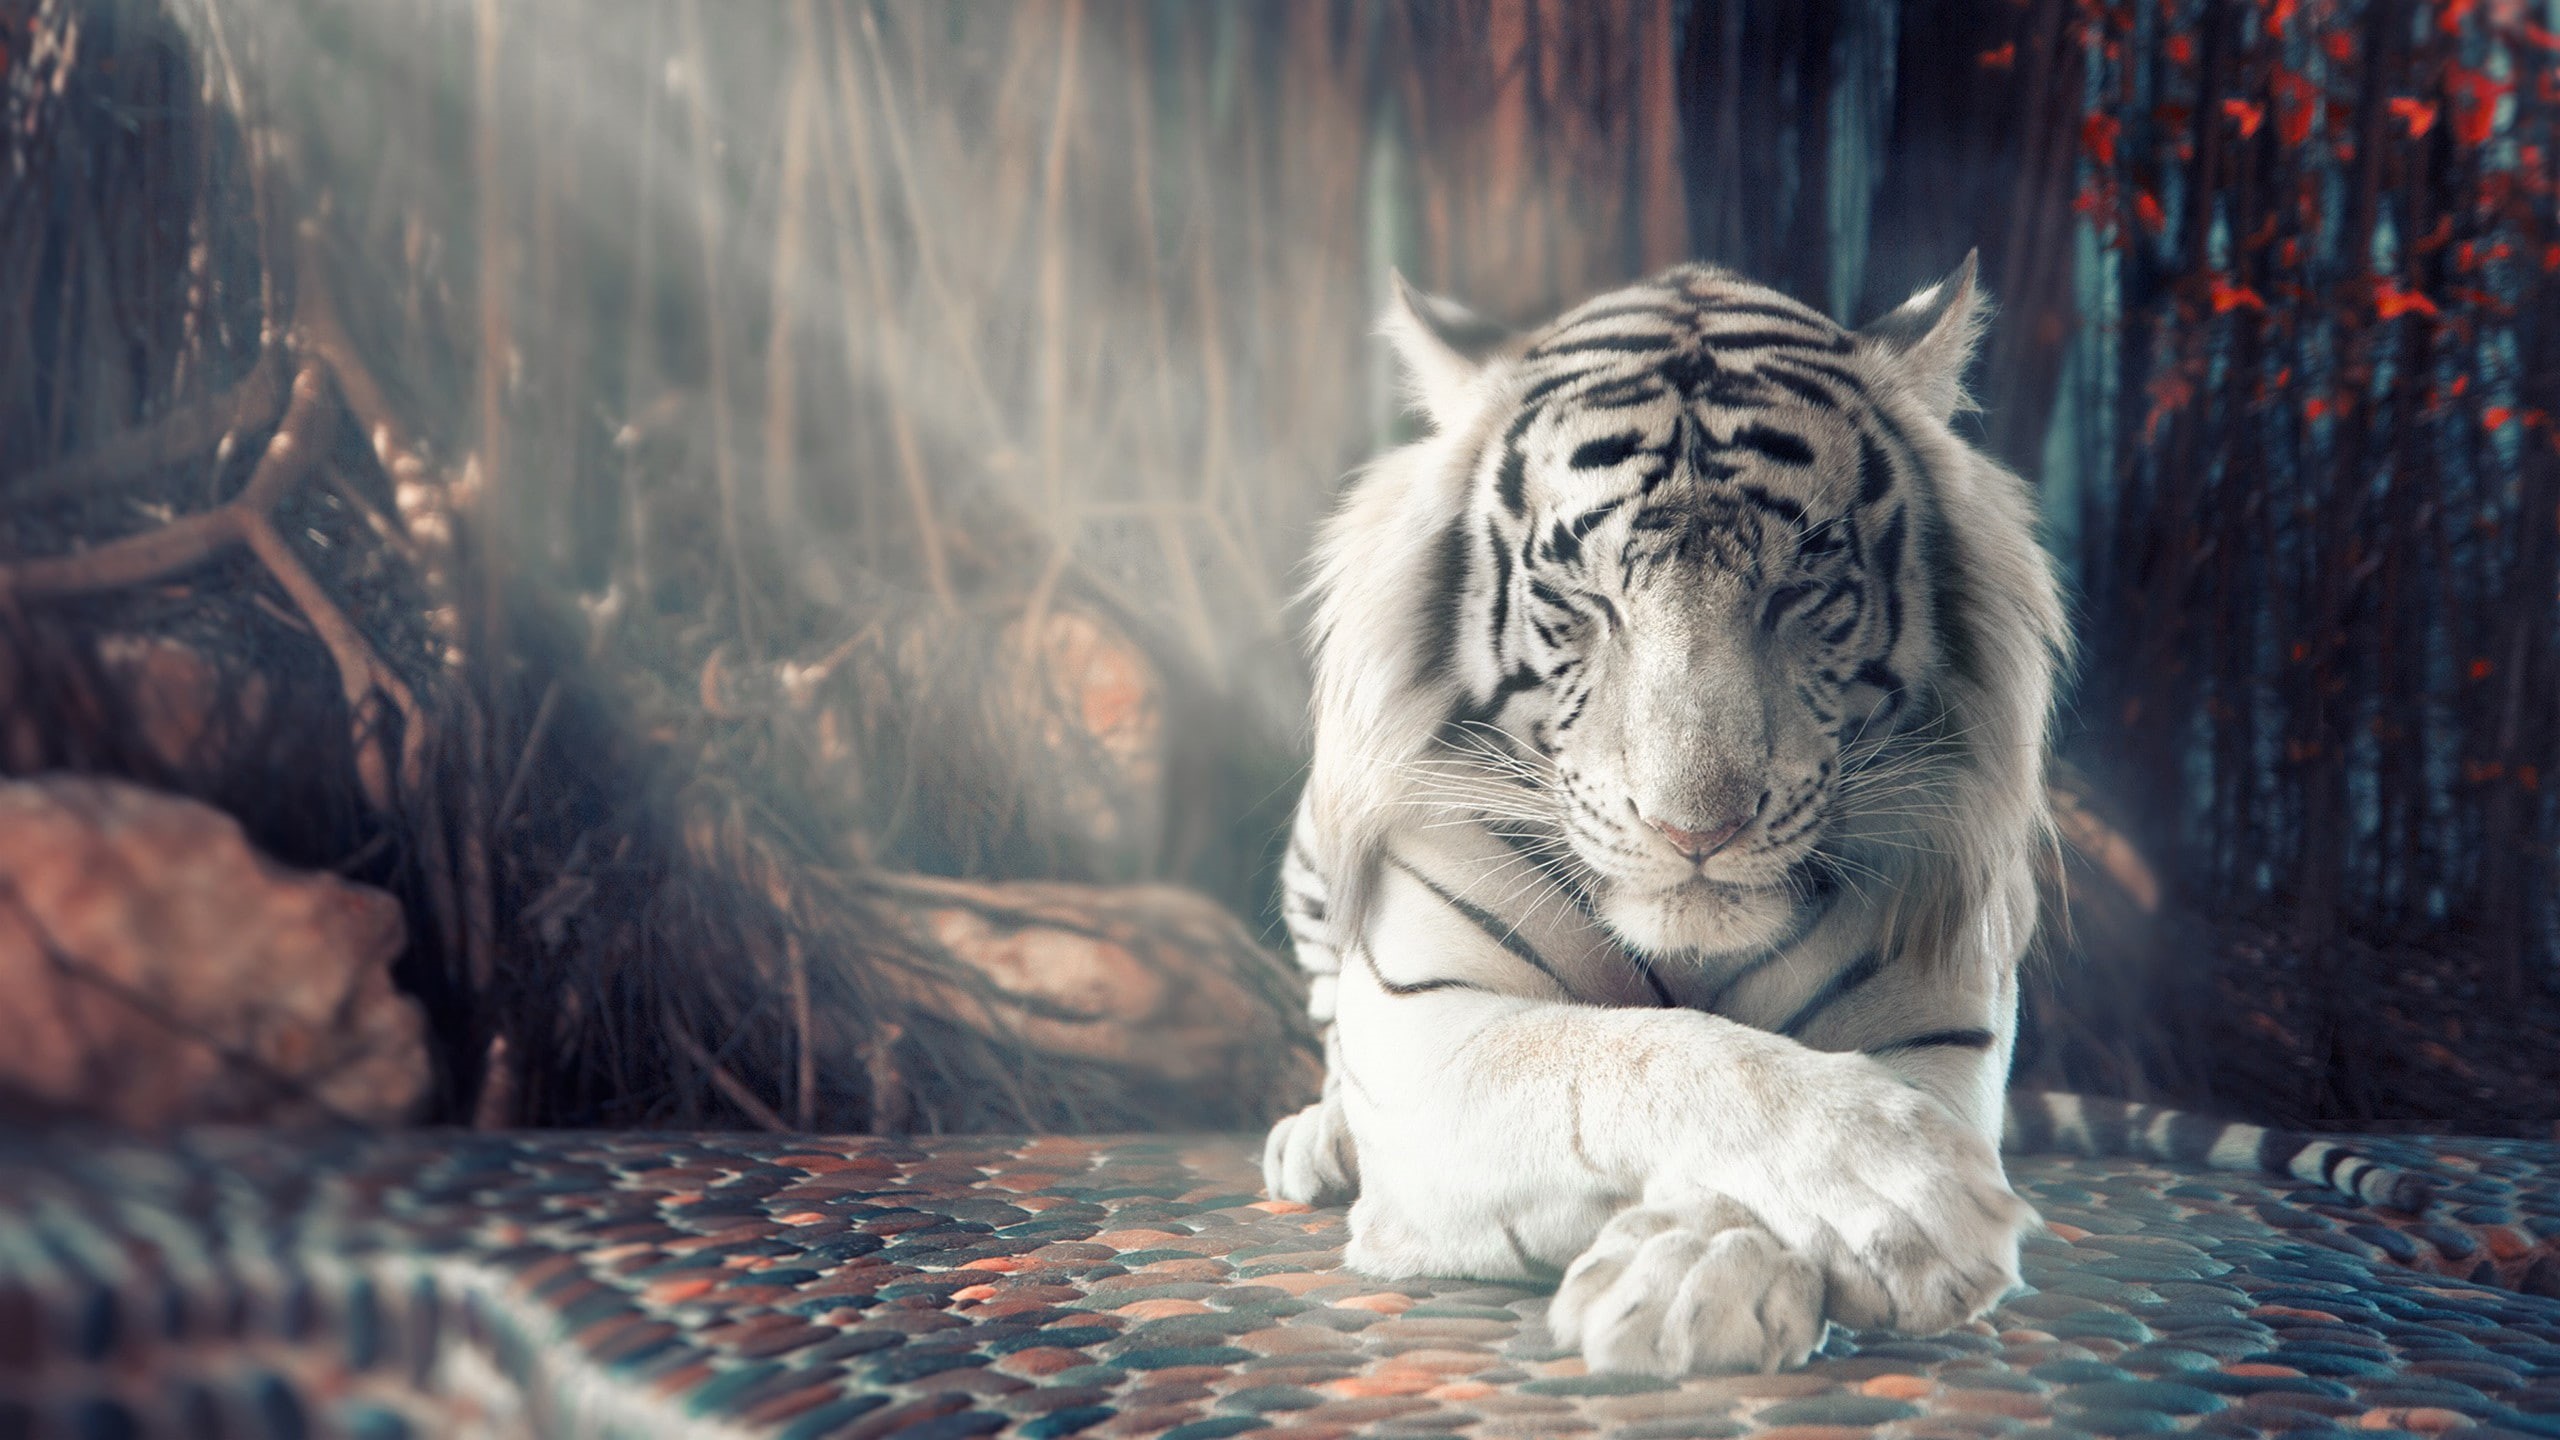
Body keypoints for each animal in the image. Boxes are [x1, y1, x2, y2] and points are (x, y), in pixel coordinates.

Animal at [1260, 255, 2430, 1378]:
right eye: (1583, 599)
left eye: (1799, 591)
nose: (1695, 832)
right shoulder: (1431, 1033)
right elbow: (1645, 1055)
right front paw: (1902, 1194)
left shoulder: (1939, 1025)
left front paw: (1695, 1276)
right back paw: (1317, 1140)